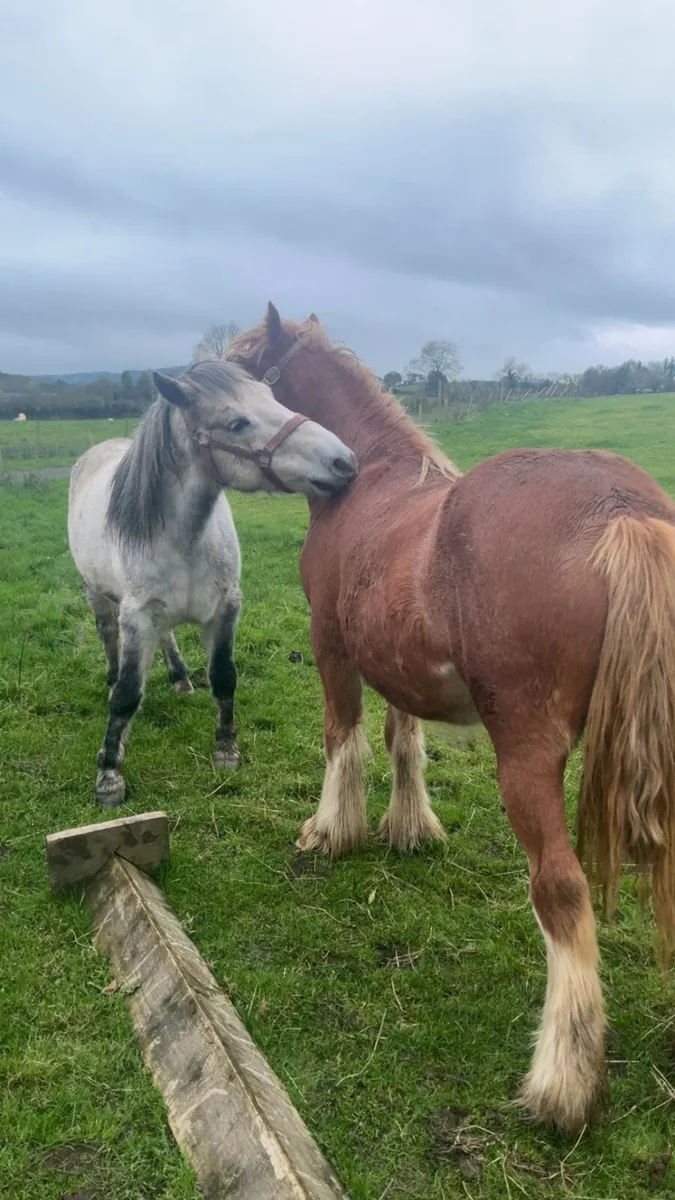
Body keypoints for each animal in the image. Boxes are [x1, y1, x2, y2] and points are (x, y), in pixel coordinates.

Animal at [67, 356, 357, 809]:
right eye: (237, 423)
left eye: (273, 398)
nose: (343, 462)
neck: (185, 536)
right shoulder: (137, 616)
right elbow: (129, 694)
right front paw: (109, 775)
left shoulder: (224, 609)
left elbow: (223, 676)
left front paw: (226, 749)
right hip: (97, 595)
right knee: (108, 636)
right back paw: (114, 678)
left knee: (167, 637)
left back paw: (180, 678)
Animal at [229, 304, 675, 1135]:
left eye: (242, 370)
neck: (368, 480)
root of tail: (621, 510)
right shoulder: (394, 661)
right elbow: (402, 740)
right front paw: (409, 828)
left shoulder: (330, 644)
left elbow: (342, 739)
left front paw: (330, 831)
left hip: (525, 758)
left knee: (560, 892)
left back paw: (560, 1085)